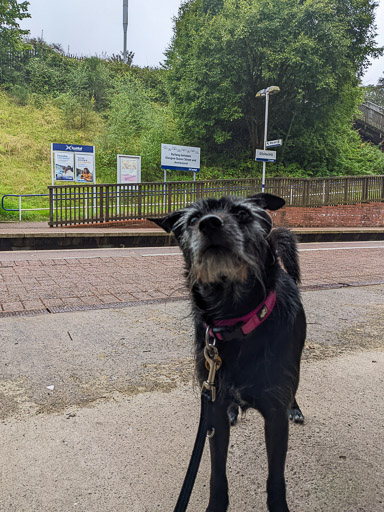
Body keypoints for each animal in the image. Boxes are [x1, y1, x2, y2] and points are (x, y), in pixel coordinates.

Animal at [150, 194, 306, 510]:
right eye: (193, 219)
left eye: (242, 213)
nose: (210, 224)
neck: (235, 320)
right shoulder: (214, 417)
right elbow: (217, 476)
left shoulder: (275, 417)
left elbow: (276, 480)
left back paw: (295, 408)